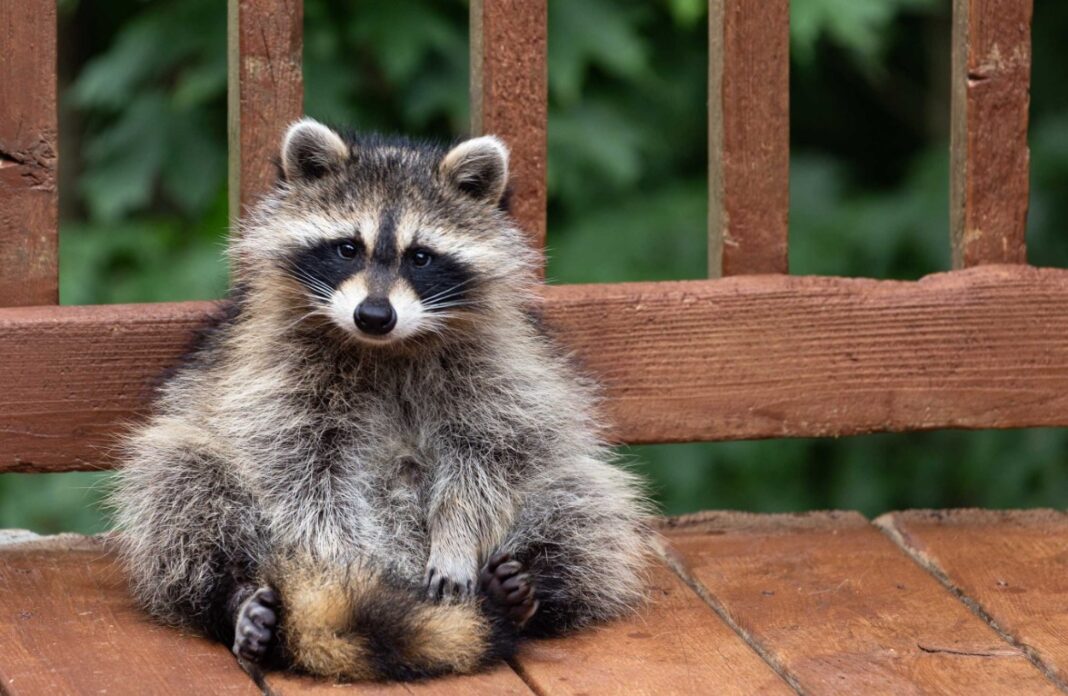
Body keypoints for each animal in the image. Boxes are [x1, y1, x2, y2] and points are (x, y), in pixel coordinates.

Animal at [112, 118, 651, 682]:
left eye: (420, 257)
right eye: (348, 248)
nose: (374, 315)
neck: (385, 347)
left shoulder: (501, 365)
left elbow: (495, 453)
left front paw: (457, 533)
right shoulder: (273, 372)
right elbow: (302, 474)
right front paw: (338, 568)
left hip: (563, 495)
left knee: (582, 504)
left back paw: (527, 591)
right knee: (180, 484)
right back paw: (237, 599)